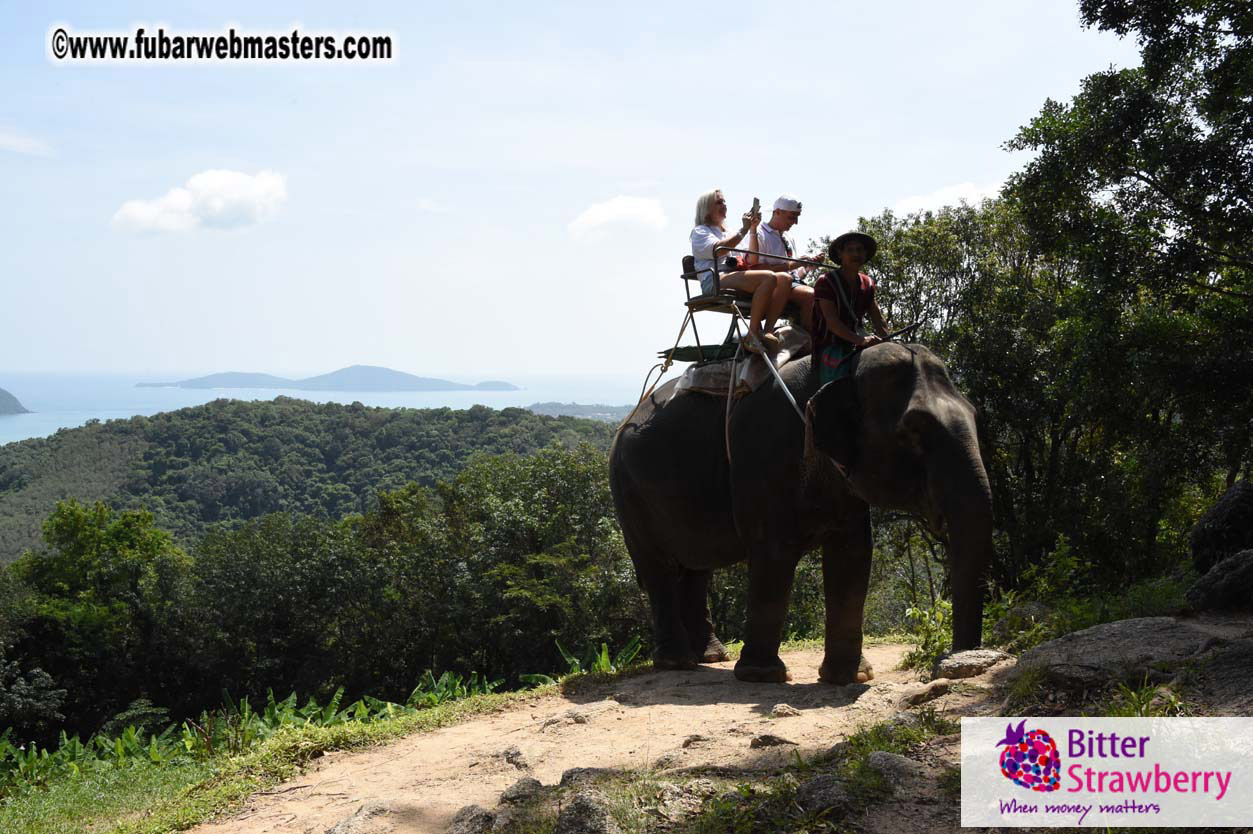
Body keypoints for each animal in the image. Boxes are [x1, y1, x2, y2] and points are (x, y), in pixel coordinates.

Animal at [608, 342, 993, 684]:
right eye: (911, 432)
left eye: (976, 415)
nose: (954, 661)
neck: (843, 365)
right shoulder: (764, 456)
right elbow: (774, 555)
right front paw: (763, 677)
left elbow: (852, 555)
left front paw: (849, 677)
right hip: (627, 491)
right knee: (658, 568)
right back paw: (677, 662)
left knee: (697, 568)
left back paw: (712, 657)